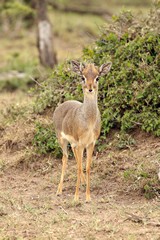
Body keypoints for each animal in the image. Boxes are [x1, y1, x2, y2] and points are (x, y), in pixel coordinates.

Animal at [53, 60, 112, 202]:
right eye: (82, 77)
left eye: (97, 77)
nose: (90, 88)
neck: (88, 121)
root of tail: (60, 106)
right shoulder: (81, 144)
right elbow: (80, 167)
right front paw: (76, 197)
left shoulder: (90, 143)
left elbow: (87, 167)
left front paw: (88, 197)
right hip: (62, 141)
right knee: (65, 158)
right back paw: (59, 190)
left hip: (74, 144)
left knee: (74, 158)